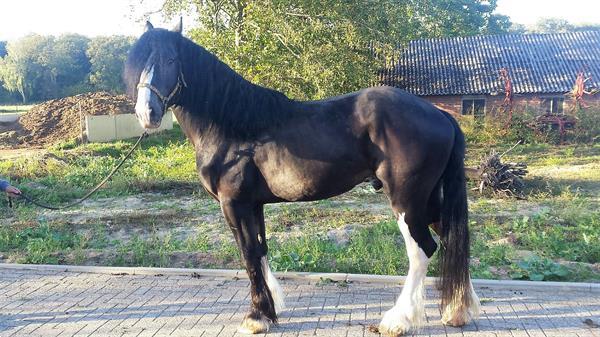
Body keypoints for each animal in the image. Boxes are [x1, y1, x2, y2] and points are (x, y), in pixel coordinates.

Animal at [124, 20, 480, 334]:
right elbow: (261, 250)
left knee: (422, 250)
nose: (147, 113)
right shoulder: (253, 204)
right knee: (451, 238)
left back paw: (398, 321)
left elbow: (248, 254)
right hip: (428, 199)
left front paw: (256, 317)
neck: (233, 126)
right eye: (140, 64)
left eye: (170, 60)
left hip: (407, 201)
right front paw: (271, 309)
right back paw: (457, 310)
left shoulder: (233, 204)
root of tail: (440, 115)